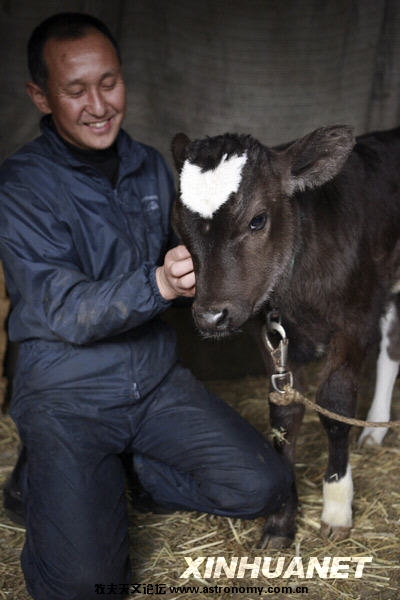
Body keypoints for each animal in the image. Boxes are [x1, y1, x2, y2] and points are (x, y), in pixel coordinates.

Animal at [171, 126, 400, 548]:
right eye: (180, 225)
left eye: (258, 219)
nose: (210, 316)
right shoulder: (269, 333)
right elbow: (284, 413)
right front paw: (280, 522)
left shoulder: (355, 319)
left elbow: (335, 406)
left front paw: (336, 507)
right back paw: (375, 430)